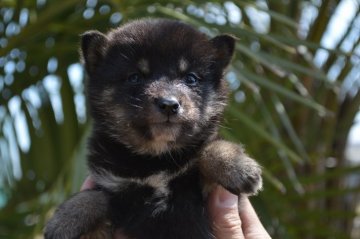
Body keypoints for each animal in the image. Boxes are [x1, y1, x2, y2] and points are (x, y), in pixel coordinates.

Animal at [45, 18, 264, 239]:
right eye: (134, 77)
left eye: (191, 78)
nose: (169, 104)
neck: (158, 159)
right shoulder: (118, 187)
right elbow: (97, 196)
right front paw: (65, 218)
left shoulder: (204, 189)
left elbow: (210, 149)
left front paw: (237, 166)